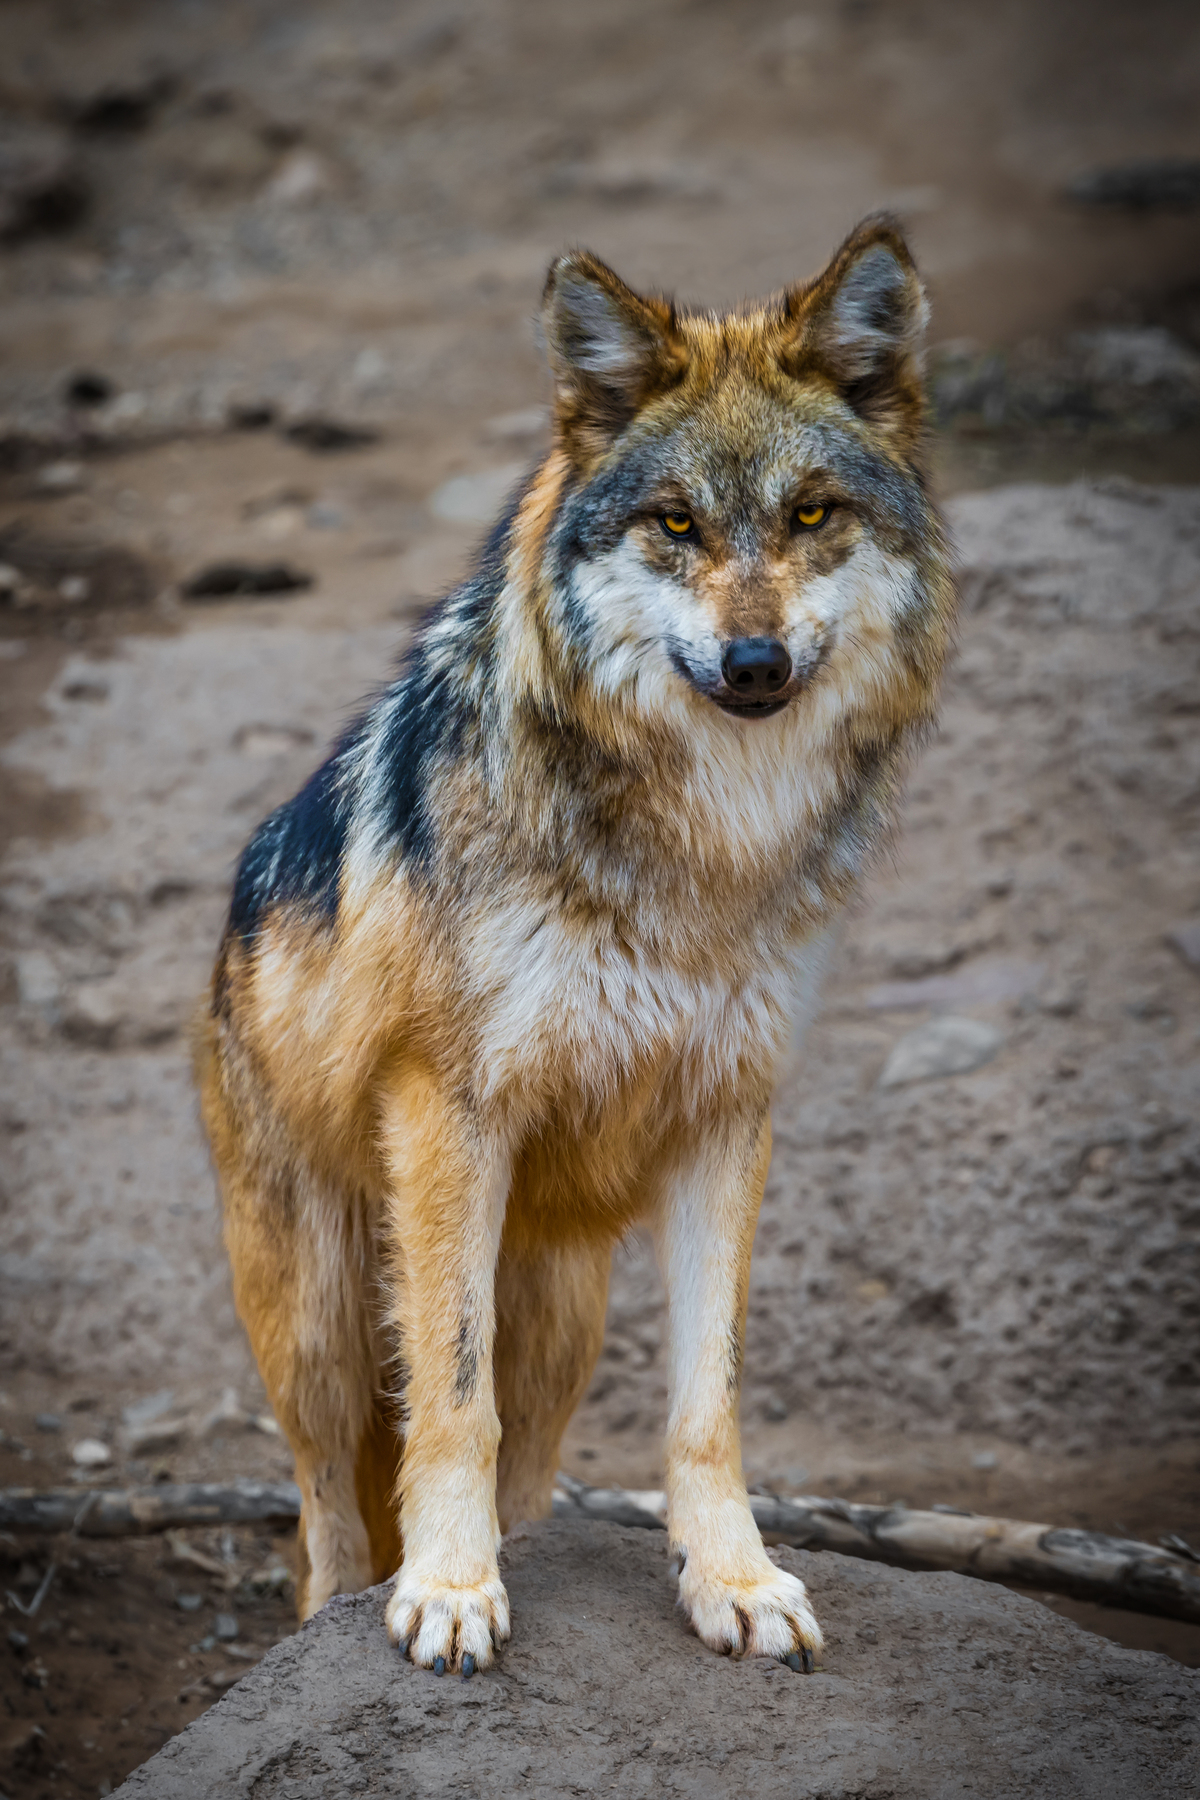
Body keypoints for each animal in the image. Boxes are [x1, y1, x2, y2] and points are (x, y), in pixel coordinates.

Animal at [197, 215, 954, 1678]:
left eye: (811, 514)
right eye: (677, 523)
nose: (756, 662)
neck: (704, 853)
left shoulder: (730, 1114)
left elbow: (707, 1404)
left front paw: (735, 1579)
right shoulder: (447, 1108)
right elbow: (450, 1397)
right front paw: (446, 1590)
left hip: (563, 1321)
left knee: (532, 1468)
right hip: (318, 1329)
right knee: (327, 1517)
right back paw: (345, 1606)